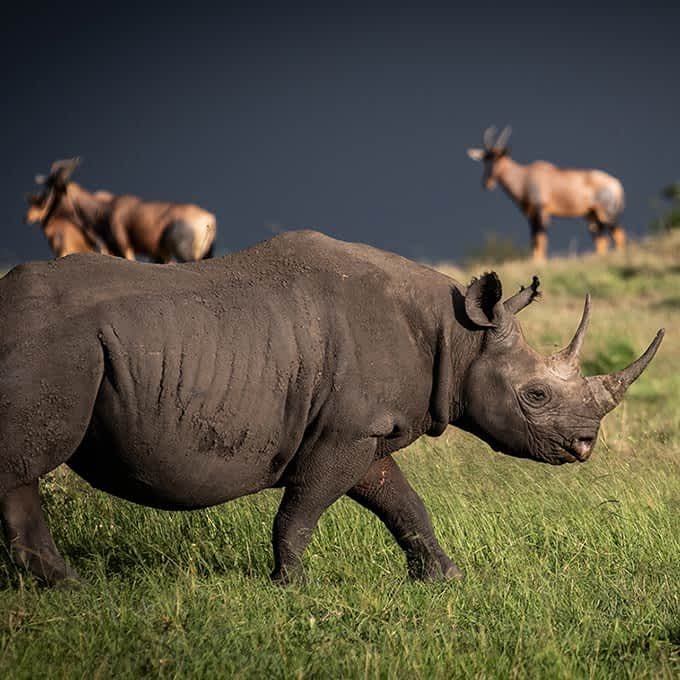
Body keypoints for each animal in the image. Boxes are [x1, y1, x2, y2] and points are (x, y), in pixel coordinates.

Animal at [0, 230, 663, 586]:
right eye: (536, 395)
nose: (585, 446)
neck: (458, 335)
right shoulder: (346, 432)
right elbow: (303, 510)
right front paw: (291, 586)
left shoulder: (363, 431)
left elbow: (404, 504)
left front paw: (443, 578)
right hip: (55, 344)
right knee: (26, 460)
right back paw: (71, 586)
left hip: (50, 342)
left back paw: (56, 586)